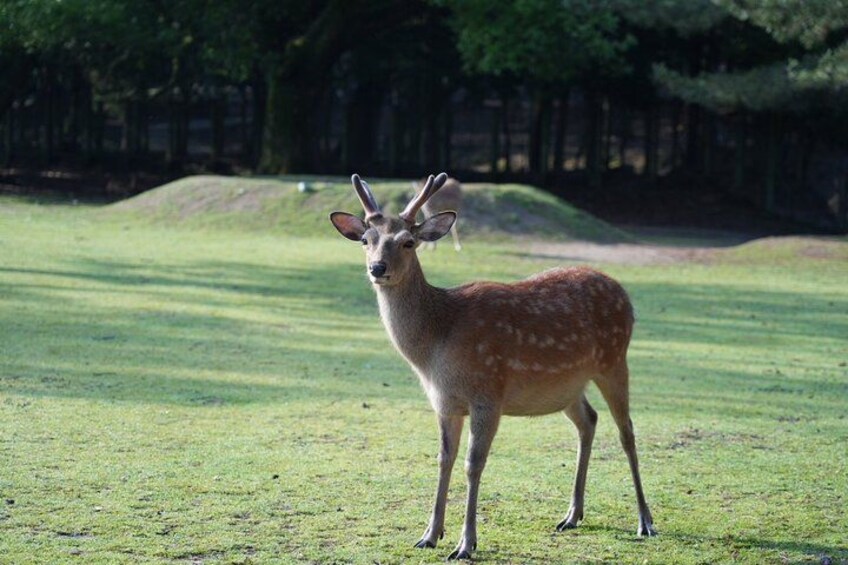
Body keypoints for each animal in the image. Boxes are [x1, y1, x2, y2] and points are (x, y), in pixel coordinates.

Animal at [329, 173, 656, 561]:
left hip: (615, 360)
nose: (377, 268)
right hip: (568, 387)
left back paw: (645, 521)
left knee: (627, 432)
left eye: (408, 242)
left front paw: (465, 544)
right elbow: (444, 458)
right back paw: (572, 515)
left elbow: (473, 464)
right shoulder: (443, 403)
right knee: (589, 421)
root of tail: (625, 294)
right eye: (366, 240)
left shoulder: (488, 394)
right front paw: (429, 535)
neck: (435, 349)